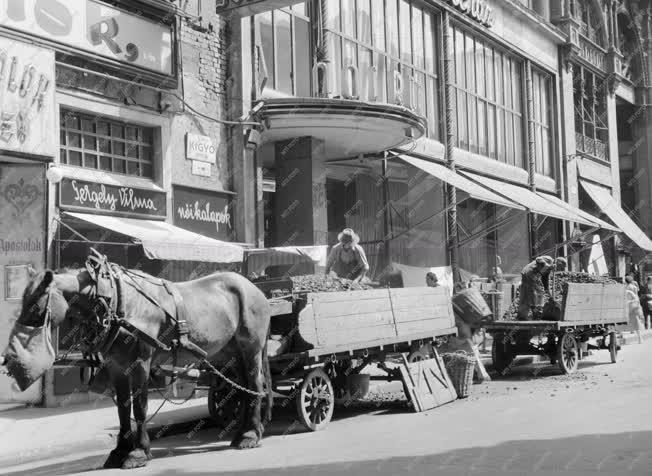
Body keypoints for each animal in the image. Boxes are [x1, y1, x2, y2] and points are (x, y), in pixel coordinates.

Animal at [1, 262, 272, 470]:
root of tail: (252, 287)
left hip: (251, 348)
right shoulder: (116, 366)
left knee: (255, 385)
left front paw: (138, 452)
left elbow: (140, 408)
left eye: (36, 306)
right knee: (242, 388)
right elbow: (123, 410)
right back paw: (246, 431)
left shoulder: (141, 363)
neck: (115, 302)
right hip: (227, 354)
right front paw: (120, 451)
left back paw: (249, 435)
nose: (7, 360)